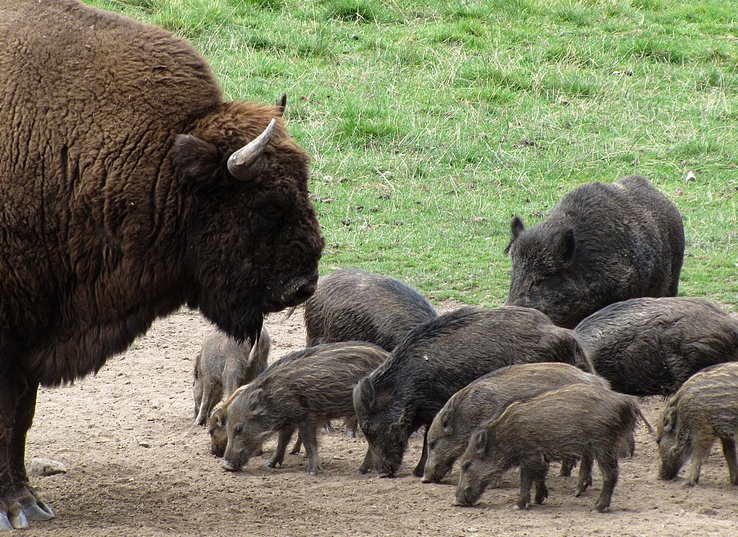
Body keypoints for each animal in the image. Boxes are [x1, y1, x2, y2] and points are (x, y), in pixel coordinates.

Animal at [0, 0, 322, 528]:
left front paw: (31, 503)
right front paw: (14, 508)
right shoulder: (12, 337)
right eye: (269, 204)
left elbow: (19, 420)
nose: (303, 286)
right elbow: (8, 419)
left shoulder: (33, 338)